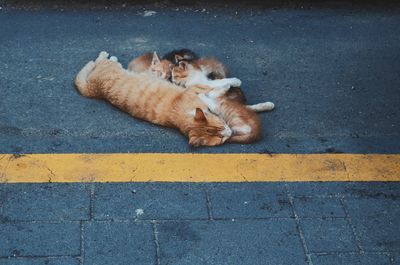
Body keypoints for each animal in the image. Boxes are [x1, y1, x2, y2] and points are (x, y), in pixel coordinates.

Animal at [74, 51, 233, 146]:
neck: (179, 114)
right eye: (221, 139)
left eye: (222, 126)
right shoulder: (193, 89)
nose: (230, 133)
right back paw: (106, 55)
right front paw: (230, 83)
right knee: (99, 61)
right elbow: (212, 86)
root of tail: (94, 90)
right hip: (108, 67)